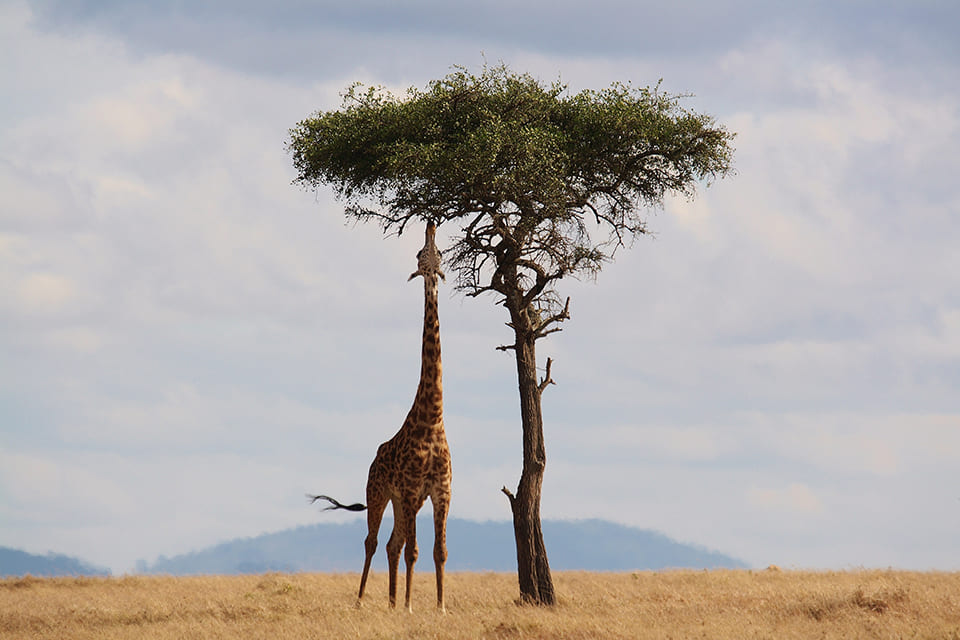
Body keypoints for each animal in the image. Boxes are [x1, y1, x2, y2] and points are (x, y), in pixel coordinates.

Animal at [310, 221, 451, 613]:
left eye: (439, 253)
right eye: (420, 254)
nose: (431, 224)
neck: (432, 419)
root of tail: (374, 458)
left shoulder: (440, 491)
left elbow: (439, 551)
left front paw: (439, 607)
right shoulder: (412, 488)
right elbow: (415, 551)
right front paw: (410, 606)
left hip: (403, 502)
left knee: (392, 543)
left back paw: (390, 602)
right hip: (379, 492)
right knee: (373, 542)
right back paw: (363, 601)